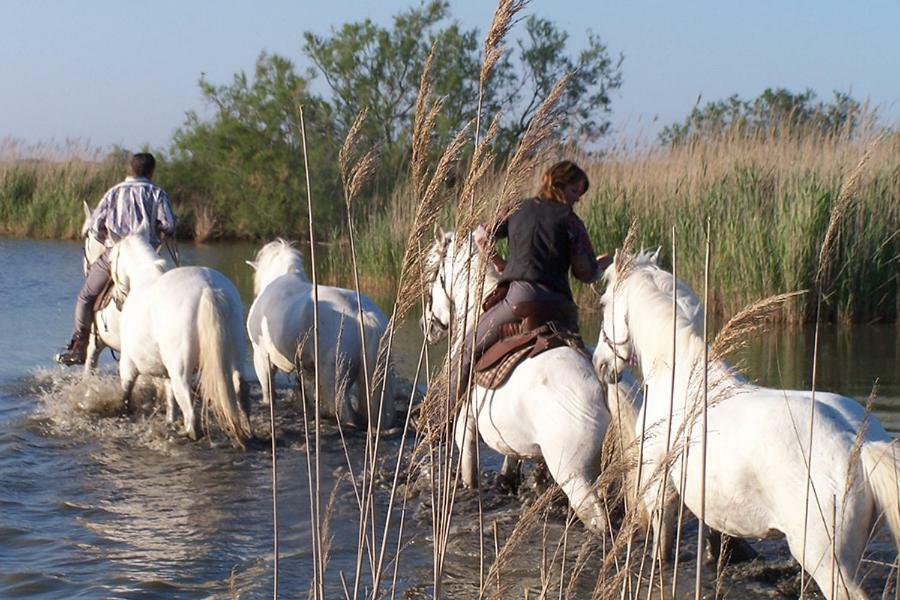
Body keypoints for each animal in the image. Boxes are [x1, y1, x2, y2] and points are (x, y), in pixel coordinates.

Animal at [108, 227, 253, 448]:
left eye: (109, 260)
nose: (117, 299)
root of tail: (207, 288)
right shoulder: (166, 371)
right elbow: (170, 400)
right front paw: (170, 420)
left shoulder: (128, 365)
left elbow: (126, 395)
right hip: (235, 357)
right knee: (241, 391)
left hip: (181, 371)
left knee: (191, 416)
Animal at [248, 239, 400, 432]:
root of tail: (363, 315)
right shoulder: (307, 368)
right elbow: (306, 392)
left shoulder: (261, 357)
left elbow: (268, 388)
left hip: (334, 376)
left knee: (344, 410)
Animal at [422, 231, 612, 536]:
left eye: (430, 273)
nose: (428, 327)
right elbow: (509, 472)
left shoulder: (465, 430)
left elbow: (469, 476)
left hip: (575, 478)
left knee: (598, 521)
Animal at [592, 250, 900, 600]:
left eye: (603, 302)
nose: (600, 364)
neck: (680, 375)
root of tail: (858, 444)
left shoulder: (661, 489)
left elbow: (663, 546)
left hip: (827, 562)